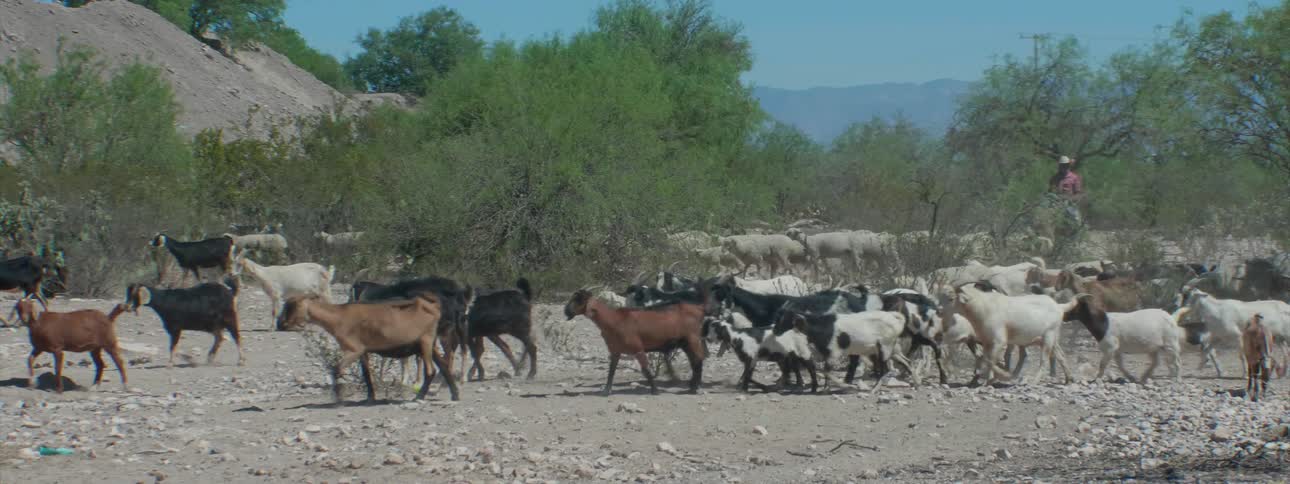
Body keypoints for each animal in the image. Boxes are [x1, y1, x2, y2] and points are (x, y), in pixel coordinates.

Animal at [279, 293, 460, 403]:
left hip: (425, 340)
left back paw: (419, 397)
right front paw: (370, 398)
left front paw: (338, 398)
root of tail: (434, 307)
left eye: (292, 305)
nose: (281, 324)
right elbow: (366, 375)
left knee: (431, 370)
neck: (338, 316)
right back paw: (455, 395)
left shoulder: (354, 349)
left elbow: (336, 369)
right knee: (444, 367)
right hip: (430, 343)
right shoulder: (363, 352)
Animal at [563, 285, 706, 395]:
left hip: (692, 338)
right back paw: (692, 386)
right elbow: (611, 371)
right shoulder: (615, 351)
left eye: (578, 299)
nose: (566, 311)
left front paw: (655, 390)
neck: (613, 319)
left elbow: (646, 370)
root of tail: (699, 308)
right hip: (685, 343)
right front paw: (606, 391)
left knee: (698, 359)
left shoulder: (638, 349)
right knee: (694, 361)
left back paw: (694, 389)